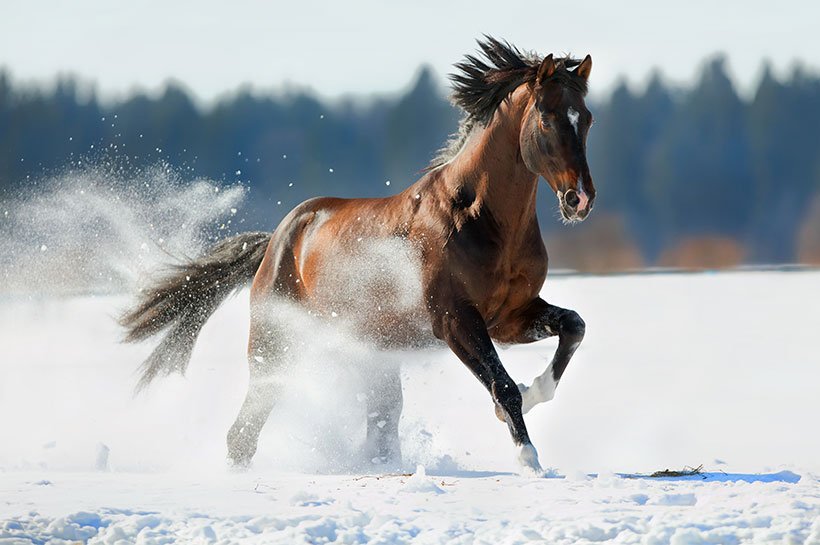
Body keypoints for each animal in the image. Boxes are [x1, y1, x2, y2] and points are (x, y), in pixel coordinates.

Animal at [121, 37, 596, 476]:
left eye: (587, 118)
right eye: (547, 117)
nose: (580, 199)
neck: (476, 217)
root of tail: (277, 241)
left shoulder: (509, 317)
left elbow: (573, 326)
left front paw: (534, 396)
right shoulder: (455, 320)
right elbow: (502, 385)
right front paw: (530, 460)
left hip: (372, 354)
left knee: (379, 422)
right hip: (276, 347)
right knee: (245, 430)